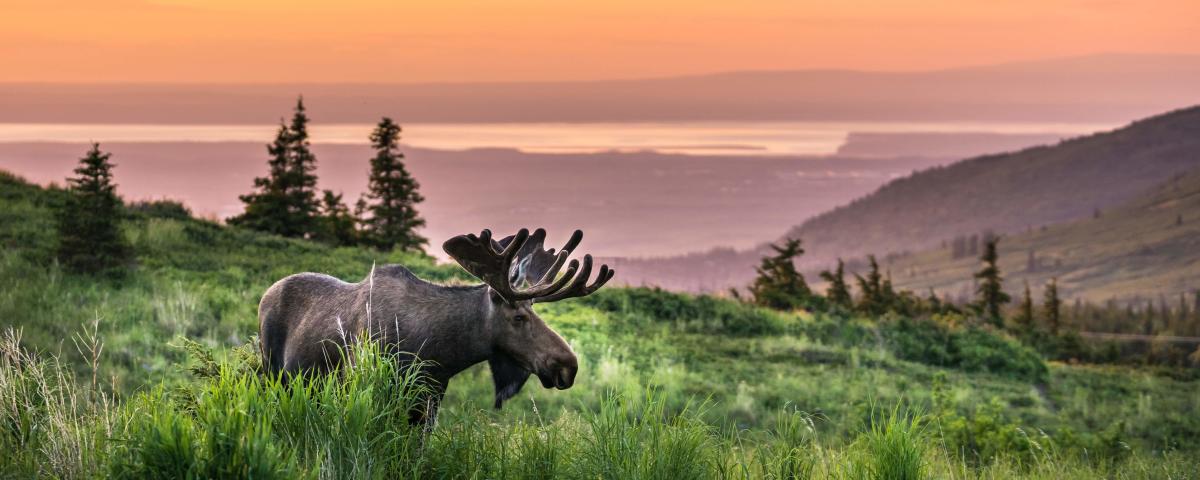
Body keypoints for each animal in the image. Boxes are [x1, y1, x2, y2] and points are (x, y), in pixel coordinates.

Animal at [257, 228, 614, 424]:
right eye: (518, 317)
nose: (568, 365)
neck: (439, 353)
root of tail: (267, 291)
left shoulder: (429, 401)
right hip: (273, 371)